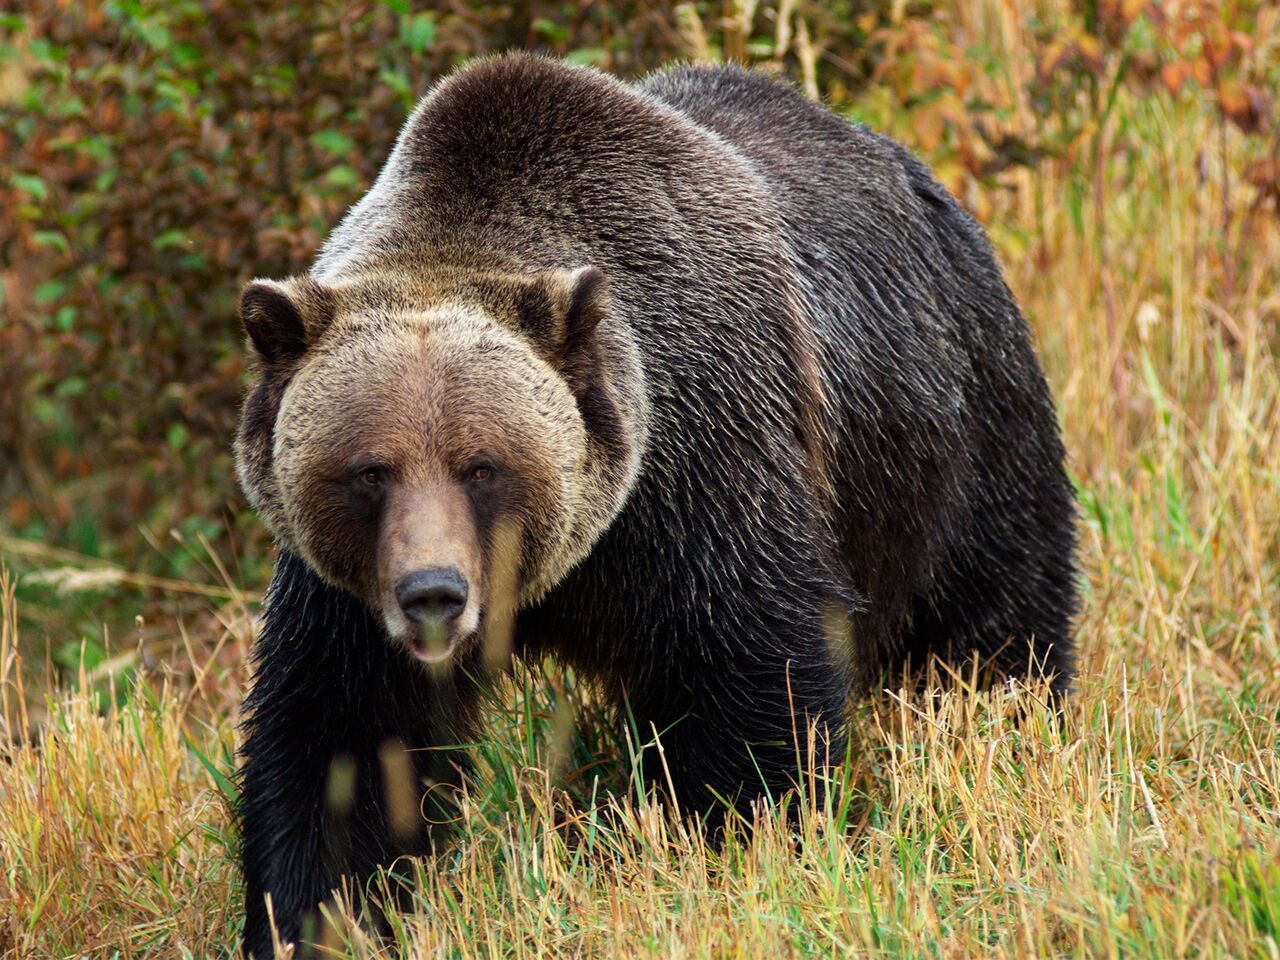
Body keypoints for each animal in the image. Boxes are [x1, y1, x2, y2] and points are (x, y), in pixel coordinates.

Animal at [235, 54, 1075, 960]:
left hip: (955, 434)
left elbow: (752, 676)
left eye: (481, 466)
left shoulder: (701, 470)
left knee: (994, 621)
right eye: (369, 471)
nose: (434, 594)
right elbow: (339, 742)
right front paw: (318, 915)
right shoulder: (348, 598)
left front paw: (742, 849)